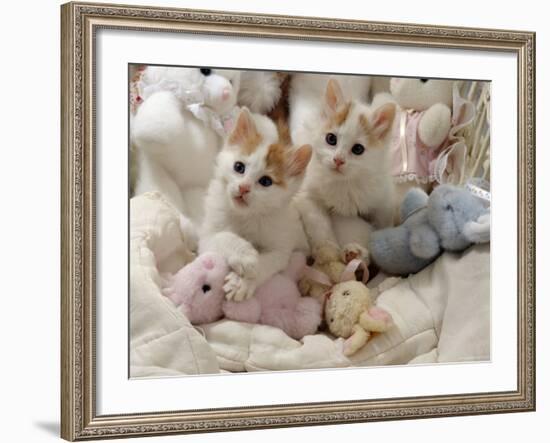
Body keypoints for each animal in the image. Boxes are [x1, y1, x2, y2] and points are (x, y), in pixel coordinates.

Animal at [198, 109, 312, 302]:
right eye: (239, 167)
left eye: (266, 181)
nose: (243, 188)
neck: (247, 215)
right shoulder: (206, 237)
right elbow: (223, 237)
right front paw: (245, 255)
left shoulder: (281, 245)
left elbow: (268, 262)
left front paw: (243, 282)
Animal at [296, 78, 398, 262]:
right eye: (331, 139)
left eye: (358, 149)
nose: (338, 160)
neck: (344, 183)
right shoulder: (307, 195)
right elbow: (320, 226)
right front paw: (328, 251)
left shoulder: (383, 198)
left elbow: (382, 226)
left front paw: (363, 253)